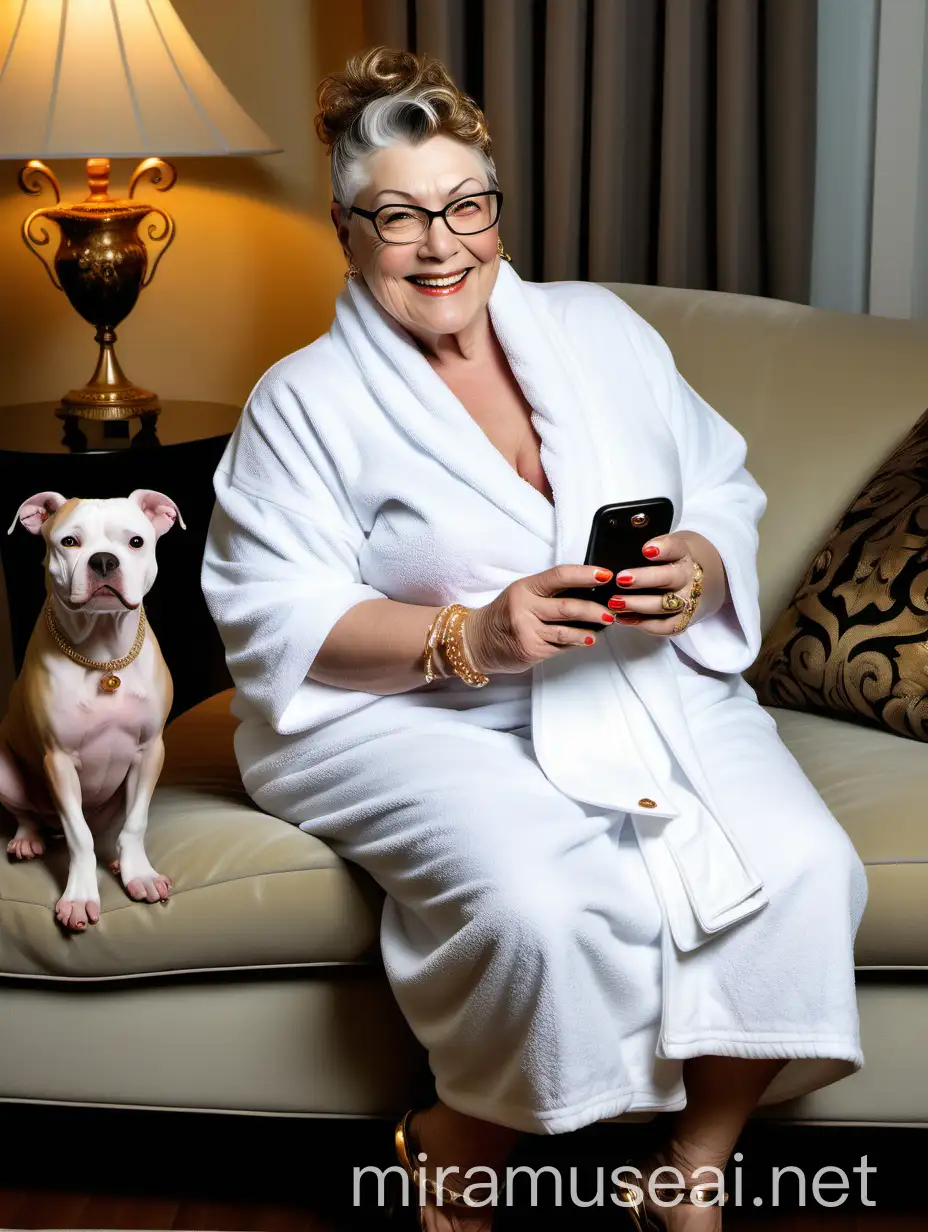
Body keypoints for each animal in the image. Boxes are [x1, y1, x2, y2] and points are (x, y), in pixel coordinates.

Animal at [0, 485, 184, 926]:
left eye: (136, 542)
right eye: (69, 542)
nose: (103, 560)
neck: (103, 656)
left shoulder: (150, 751)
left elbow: (136, 823)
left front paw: (139, 873)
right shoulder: (58, 760)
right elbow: (78, 836)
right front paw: (81, 895)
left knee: (112, 827)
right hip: (4, 773)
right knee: (28, 815)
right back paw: (27, 840)